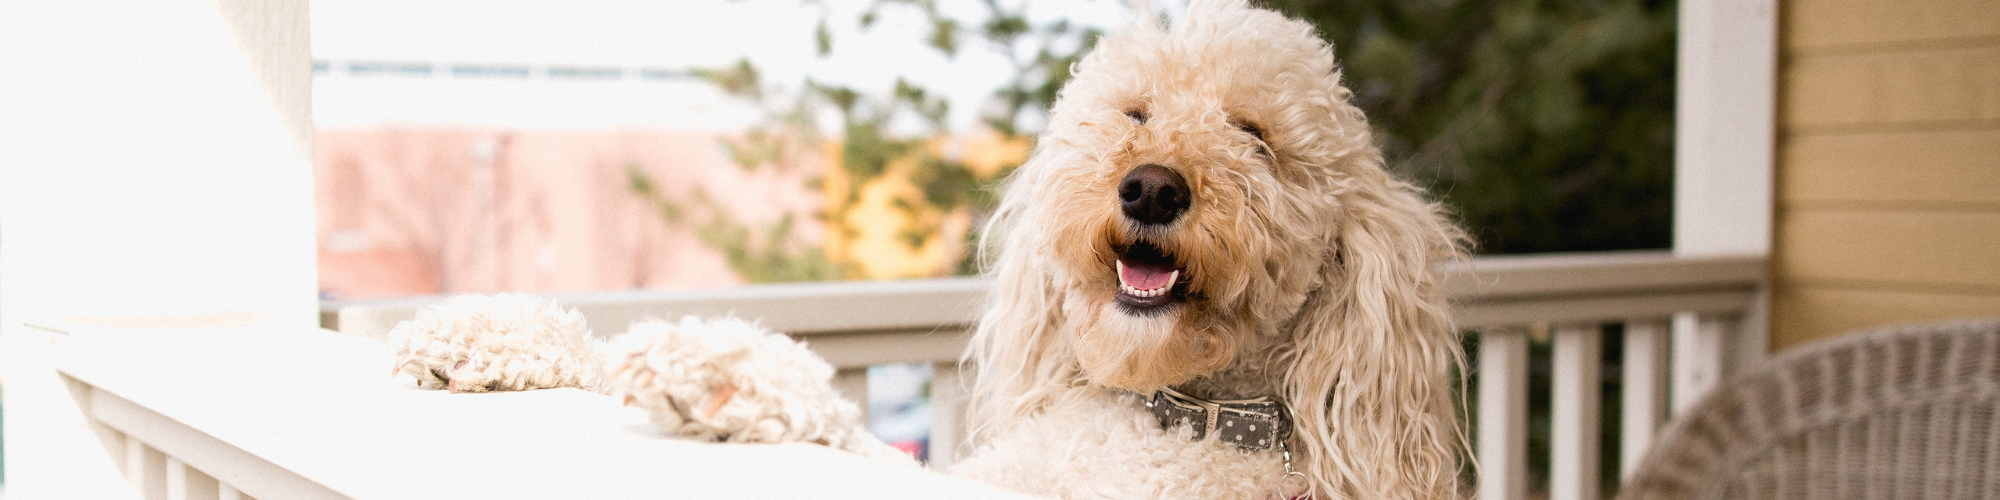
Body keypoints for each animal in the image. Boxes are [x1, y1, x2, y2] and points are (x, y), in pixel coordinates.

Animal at [386, 1, 1472, 498]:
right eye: (1135, 112)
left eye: (1257, 138)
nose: (1152, 186)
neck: (1168, 413)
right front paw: (492, 334)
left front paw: (706, 371)